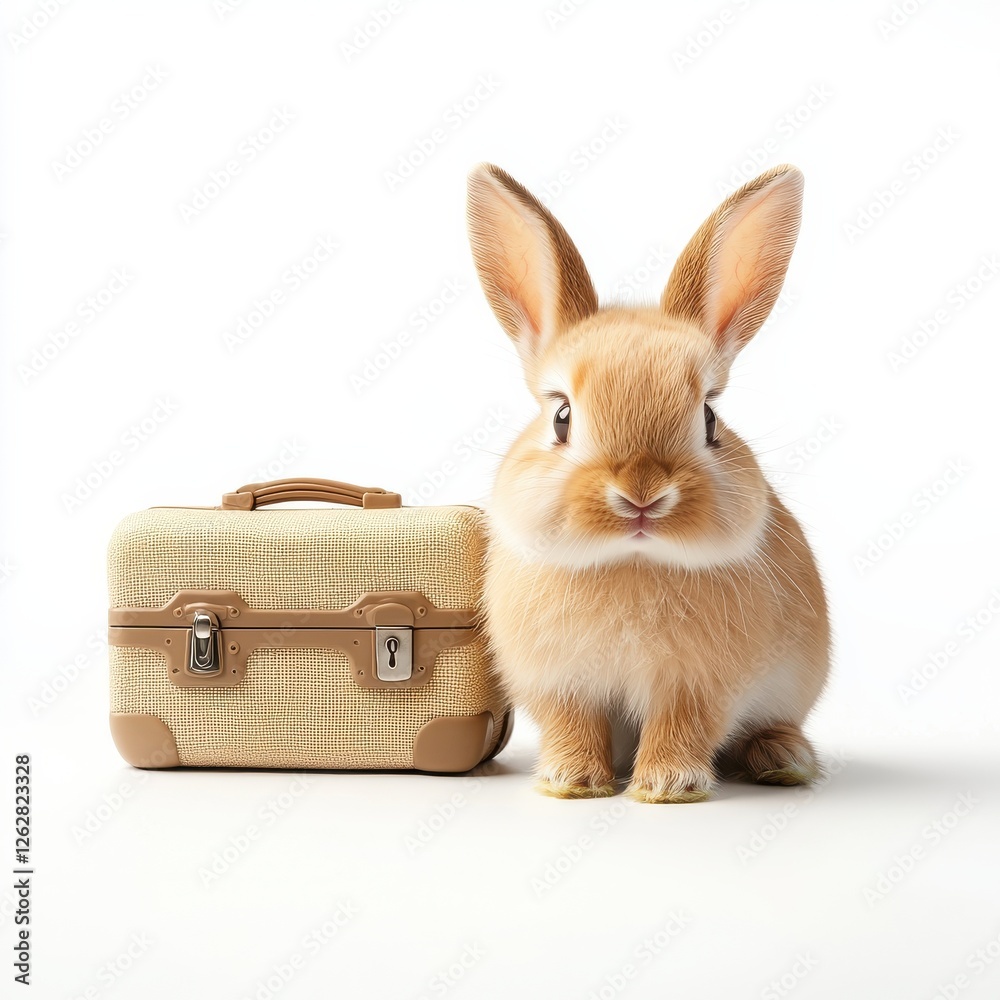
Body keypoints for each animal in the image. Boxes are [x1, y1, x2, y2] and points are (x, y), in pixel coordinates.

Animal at [466, 162, 830, 803]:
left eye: (709, 418)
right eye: (561, 417)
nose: (642, 494)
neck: (629, 561)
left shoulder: (700, 684)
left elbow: (682, 726)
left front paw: (667, 786)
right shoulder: (560, 682)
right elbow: (573, 723)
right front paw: (572, 781)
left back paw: (784, 759)